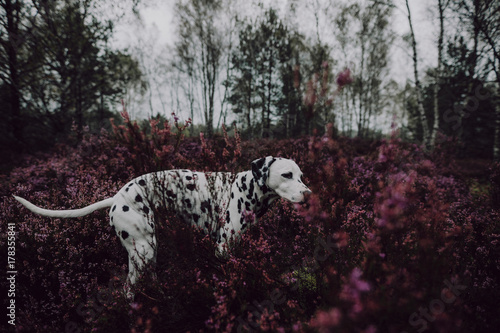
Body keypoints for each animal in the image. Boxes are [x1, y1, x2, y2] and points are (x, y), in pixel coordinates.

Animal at [13, 156, 310, 294]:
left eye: (301, 175)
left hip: (147, 250)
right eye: (286, 174)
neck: (248, 189)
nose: (308, 194)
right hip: (143, 249)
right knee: (128, 290)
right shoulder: (223, 248)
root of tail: (117, 197)